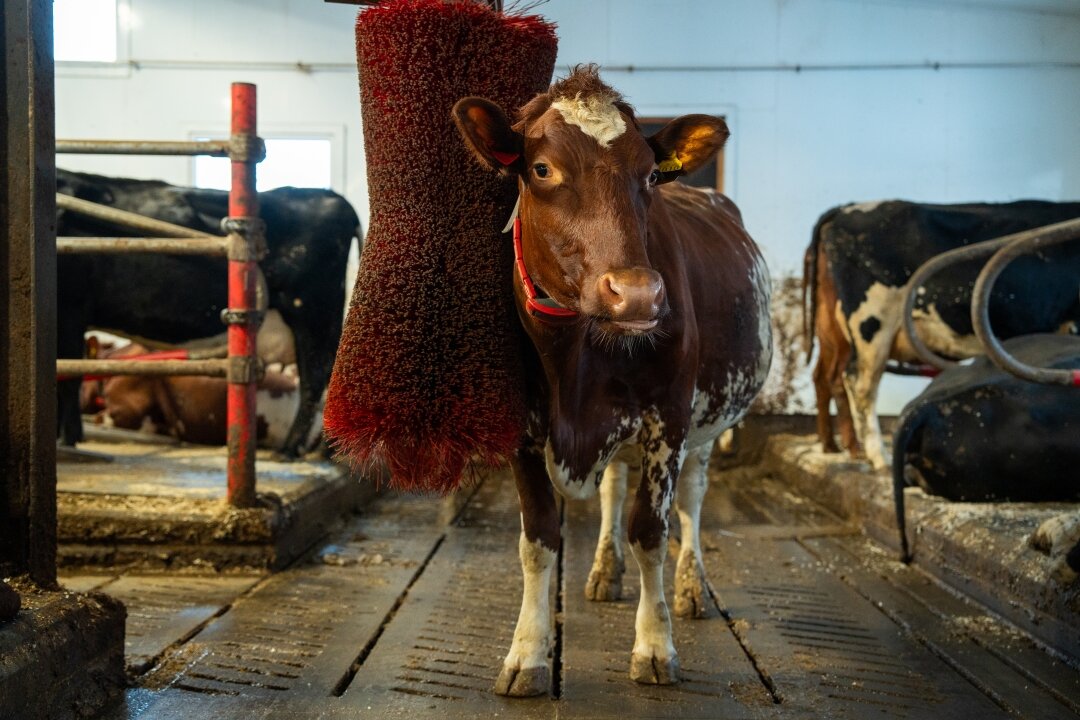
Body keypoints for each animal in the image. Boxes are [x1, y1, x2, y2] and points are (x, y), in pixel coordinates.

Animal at [56, 170, 360, 455]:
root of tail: (332, 197)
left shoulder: (71, 308)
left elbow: (68, 376)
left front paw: (66, 440)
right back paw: (323, 450)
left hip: (313, 314)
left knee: (315, 376)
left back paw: (293, 450)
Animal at [451, 64, 773, 695]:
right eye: (542, 168)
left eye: (648, 174)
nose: (639, 293)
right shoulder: (521, 428)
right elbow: (538, 538)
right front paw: (526, 653)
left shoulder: (667, 419)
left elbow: (651, 530)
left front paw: (655, 646)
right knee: (612, 489)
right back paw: (604, 569)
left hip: (707, 424)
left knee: (691, 502)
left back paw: (691, 587)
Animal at [807, 199, 1080, 472]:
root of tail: (846, 209)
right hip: (872, 323)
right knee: (860, 383)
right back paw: (878, 457)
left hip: (834, 328)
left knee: (826, 375)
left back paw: (835, 446)